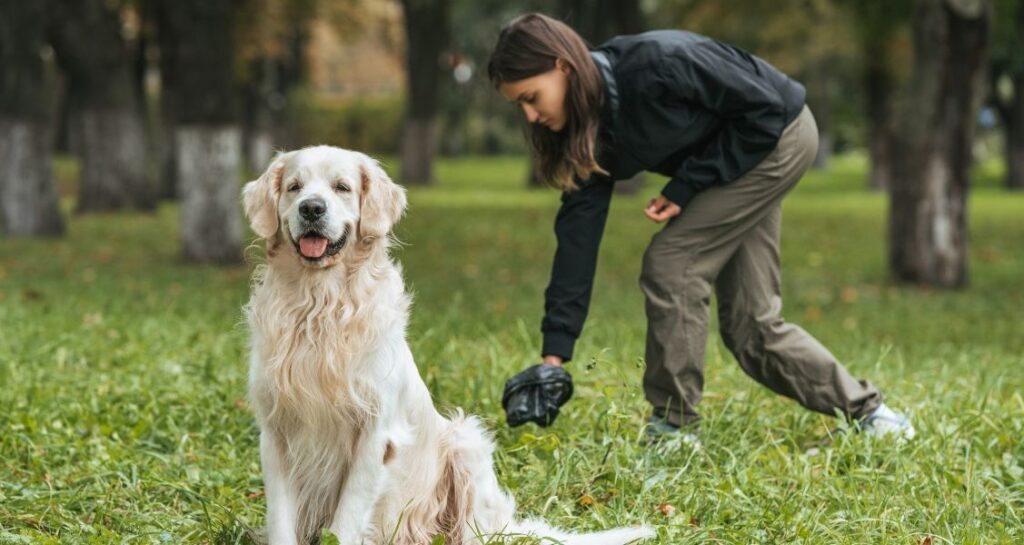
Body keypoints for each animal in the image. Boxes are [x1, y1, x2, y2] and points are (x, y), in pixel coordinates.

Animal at [243, 145, 651, 545]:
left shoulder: (375, 434)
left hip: (466, 443)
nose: (311, 208)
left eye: (341, 187)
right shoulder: (275, 432)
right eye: (294, 187)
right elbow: (281, 521)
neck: (319, 307)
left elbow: (345, 522)